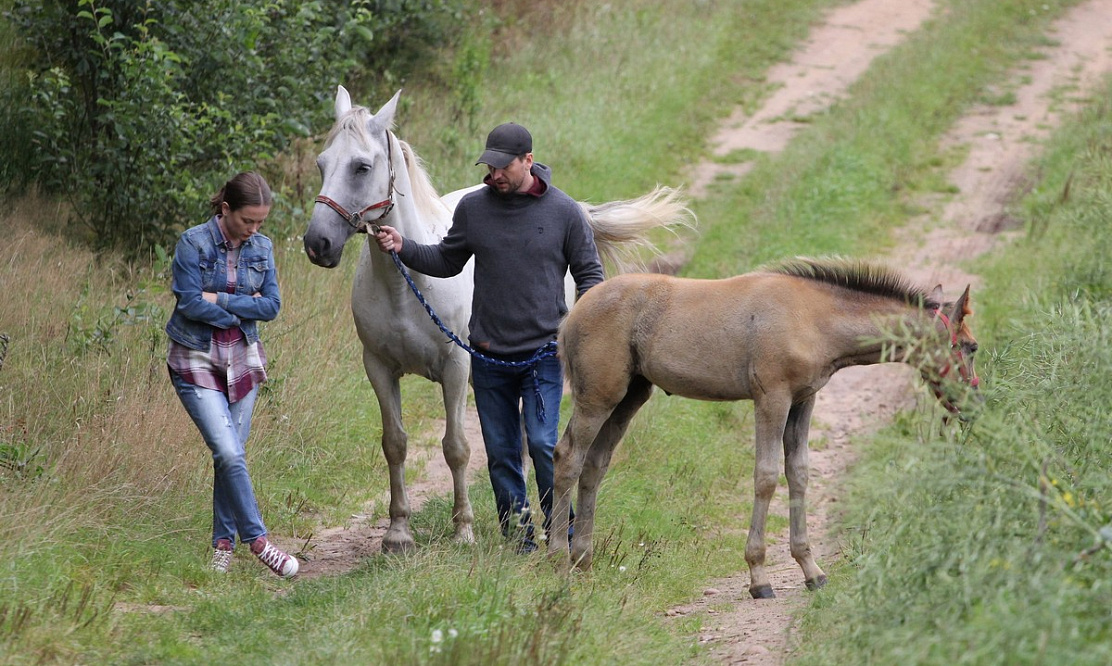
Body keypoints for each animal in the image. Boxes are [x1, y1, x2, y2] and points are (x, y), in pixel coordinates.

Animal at [300, 87, 689, 558]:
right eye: (322, 163)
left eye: (362, 166)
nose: (317, 243)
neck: (405, 287)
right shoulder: (377, 367)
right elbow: (395, 444)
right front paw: (398, 534)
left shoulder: (454, 367)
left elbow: (456, 448)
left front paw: (463, 530)